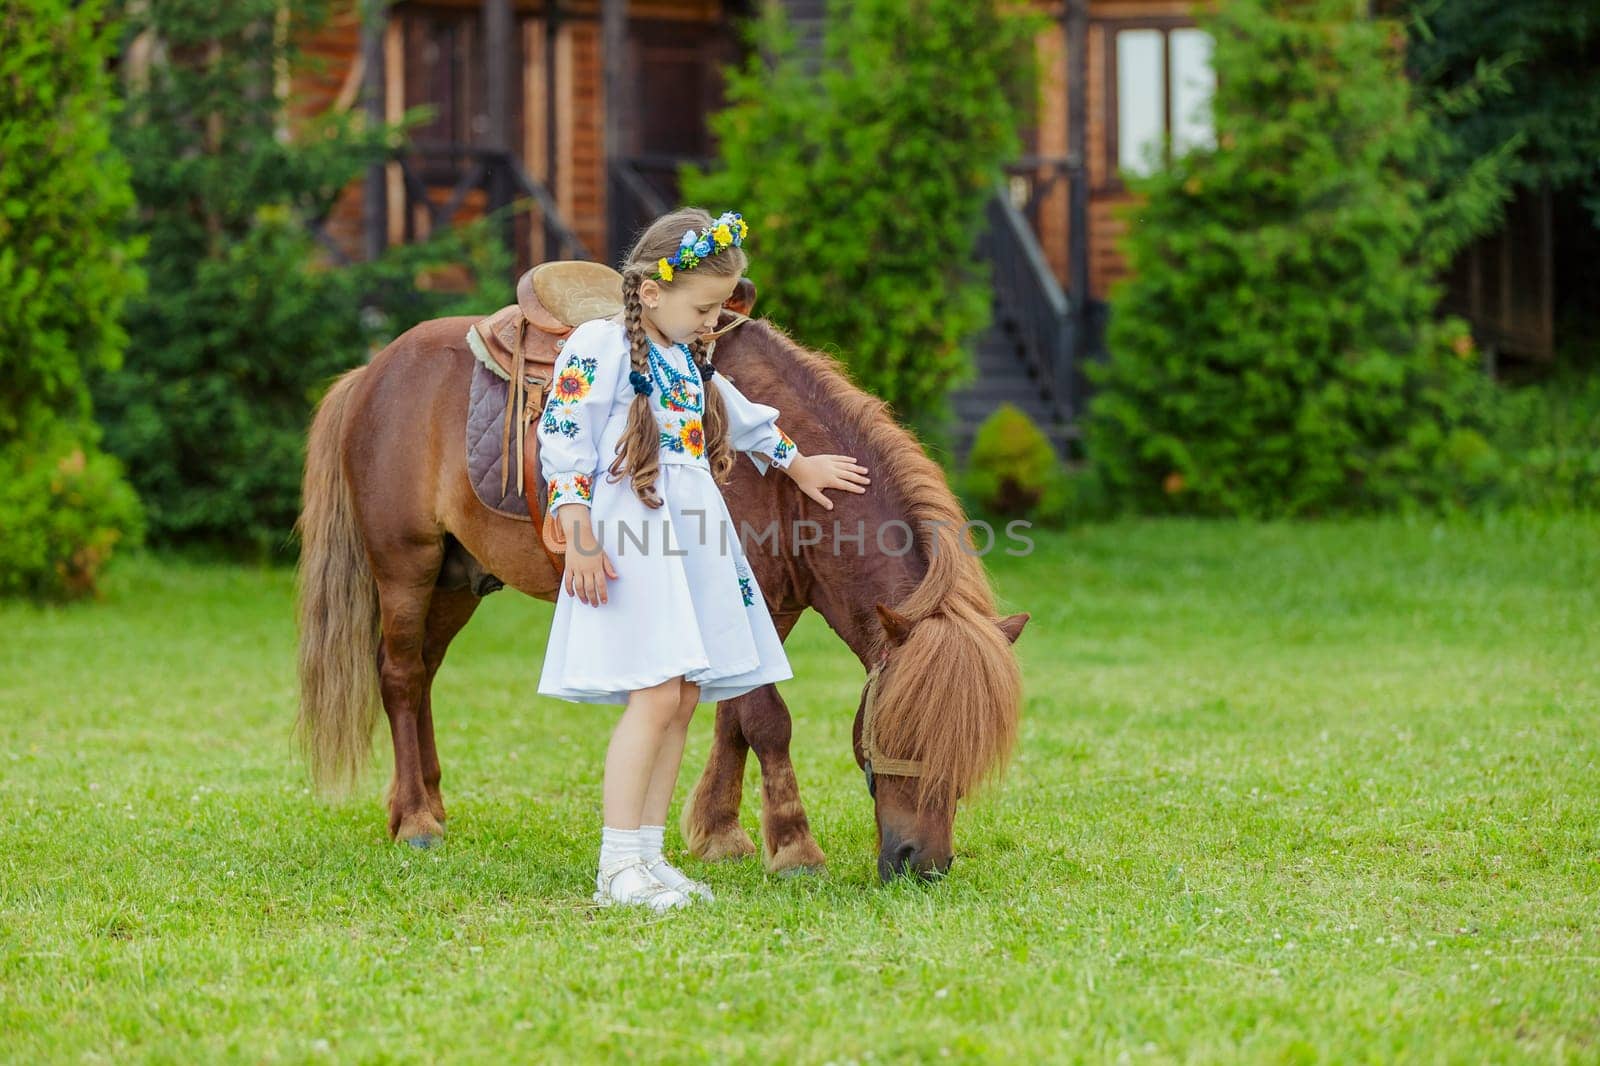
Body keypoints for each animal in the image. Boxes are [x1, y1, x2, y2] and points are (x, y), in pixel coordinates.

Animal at [296, 308, 1030, 877]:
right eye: (901, 730)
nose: (923, 864)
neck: (783, 490)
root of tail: (373, 371)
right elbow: (769, 720)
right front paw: (794, 847)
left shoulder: (765, 610)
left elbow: (736, 717)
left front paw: (721, 833)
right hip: (406, 568)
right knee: (397, 676)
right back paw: (418, 821)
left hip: (456, 583)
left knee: (421, 675)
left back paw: (421, 804)